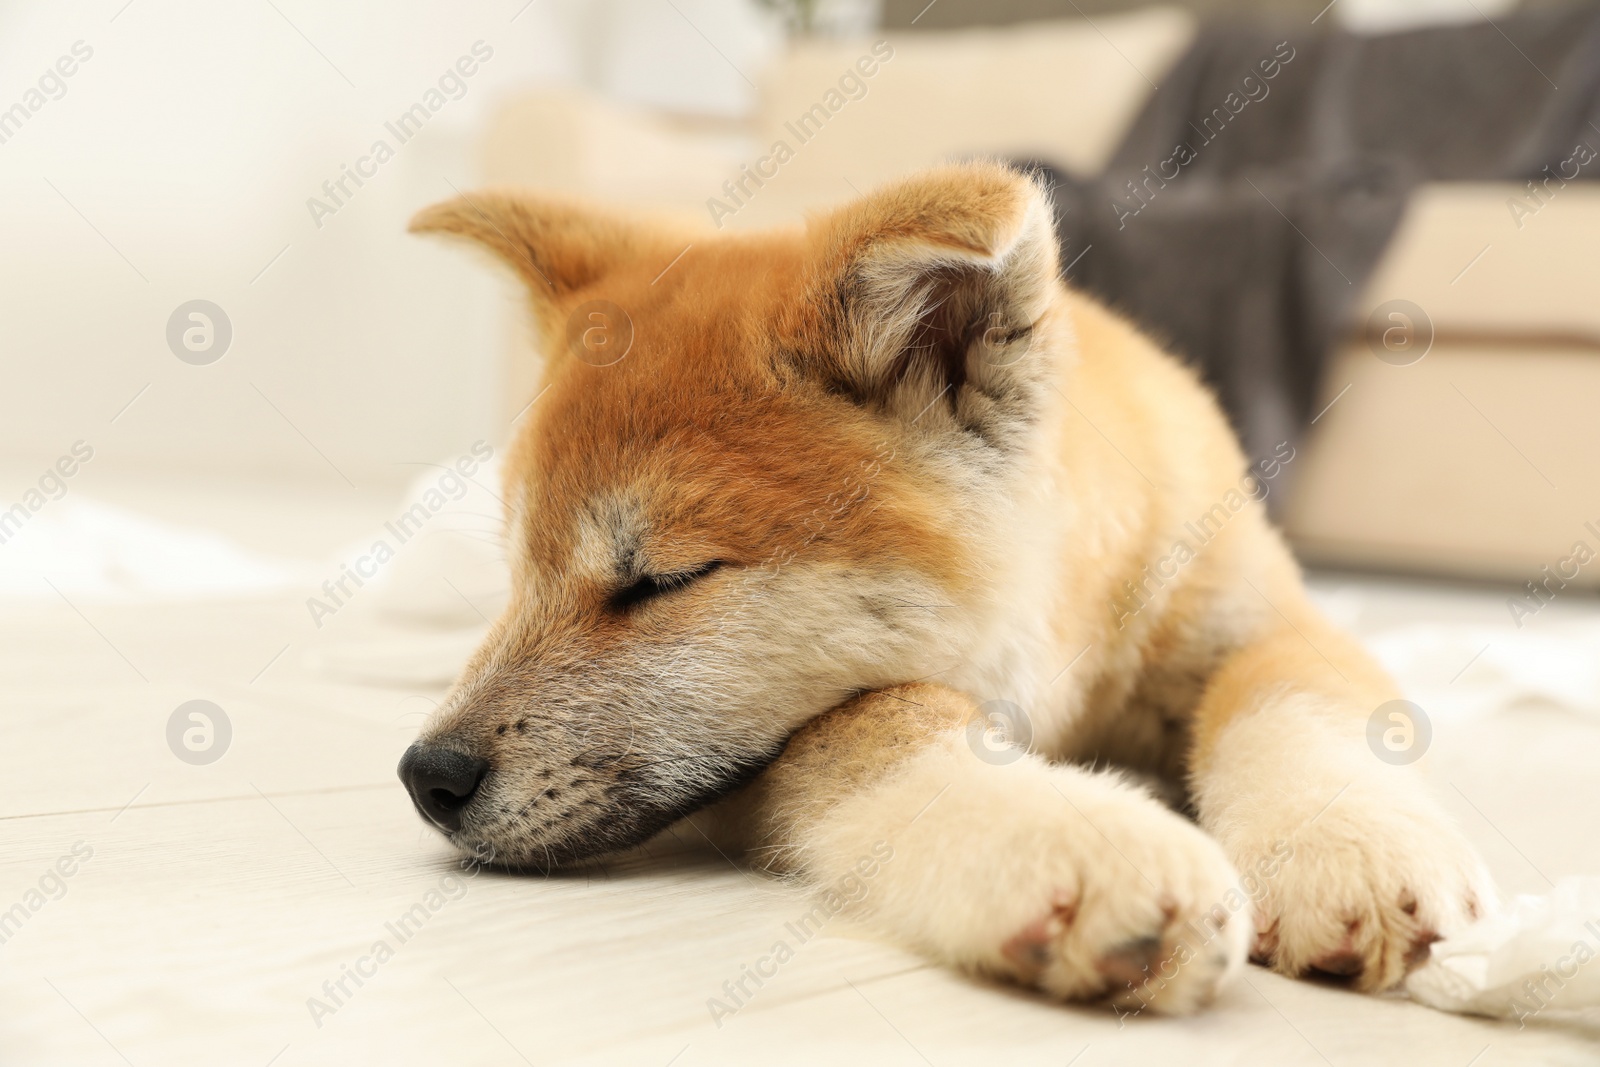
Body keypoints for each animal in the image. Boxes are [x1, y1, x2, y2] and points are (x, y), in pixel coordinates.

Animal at [403, 163, 1497, 1017]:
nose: (427, 775)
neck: (1080, 642)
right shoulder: (807, 738)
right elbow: (897, 721)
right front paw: (1074, 836)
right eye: (520, 573)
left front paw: (1347, 841)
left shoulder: (1259, 618)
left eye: (661, 580)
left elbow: (1288, 700)